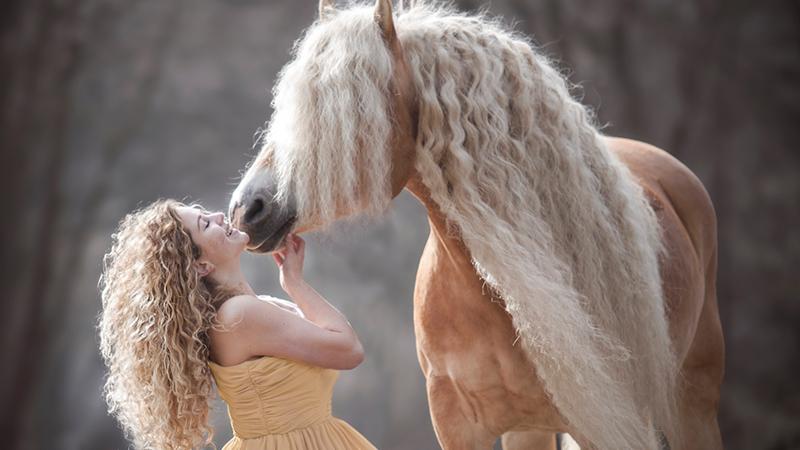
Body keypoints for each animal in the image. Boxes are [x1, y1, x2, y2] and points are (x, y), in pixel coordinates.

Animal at [228, 1, 725, 449]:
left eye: (346, 110)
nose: (245, 209)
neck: (490, 295)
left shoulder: (605, 423)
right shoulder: (457, 425)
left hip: (693, 404)